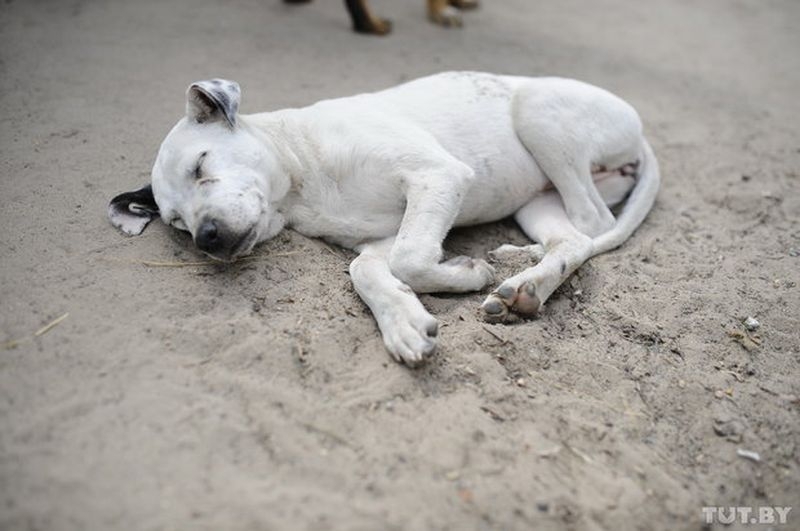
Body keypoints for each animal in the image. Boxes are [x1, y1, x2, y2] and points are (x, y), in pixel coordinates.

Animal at [109, 72, 660, 368]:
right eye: (177, 223)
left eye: (200, 166)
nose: (207, 239)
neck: (302, 183)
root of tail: (638, 129)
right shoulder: (377, 241)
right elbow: (371, 272)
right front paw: (404, 322)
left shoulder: (437, 175)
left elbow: (411, 259)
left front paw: (466, 272)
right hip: (536, 200)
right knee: (574, 238)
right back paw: (523, 283)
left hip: (538, 112)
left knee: (592, 222)